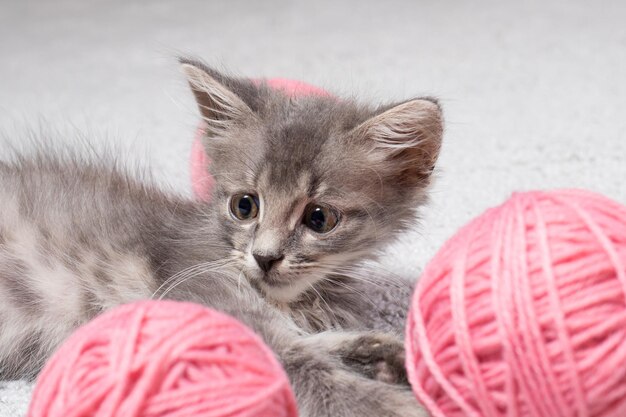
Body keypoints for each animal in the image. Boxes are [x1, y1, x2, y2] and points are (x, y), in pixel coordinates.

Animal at [0, 59, 442, 416]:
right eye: (244, 206)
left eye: (319, 218)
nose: (265, 257)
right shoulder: (204, 300)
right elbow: (298, 362)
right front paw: (391, 403)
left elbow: (315, 341)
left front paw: (388, 354)